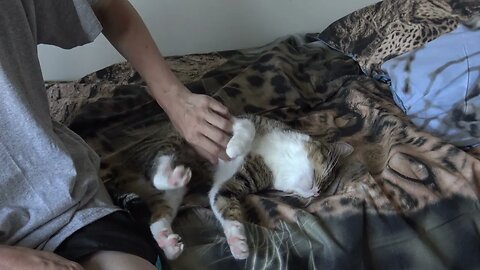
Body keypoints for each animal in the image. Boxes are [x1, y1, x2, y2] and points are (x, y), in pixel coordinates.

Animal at [101, 114, 352, 260]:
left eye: (326, 188)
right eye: (325, 178)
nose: (316, 193)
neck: (277, 157)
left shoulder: (237, 181)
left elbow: (223, 201)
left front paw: (238, 244)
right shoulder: (232, 120)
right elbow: (246, 126)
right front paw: (233, 148)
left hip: (168, 195)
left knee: (158, 215)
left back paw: (168, 242)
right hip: (170, 140)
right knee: (159, 165)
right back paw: (175, 174)